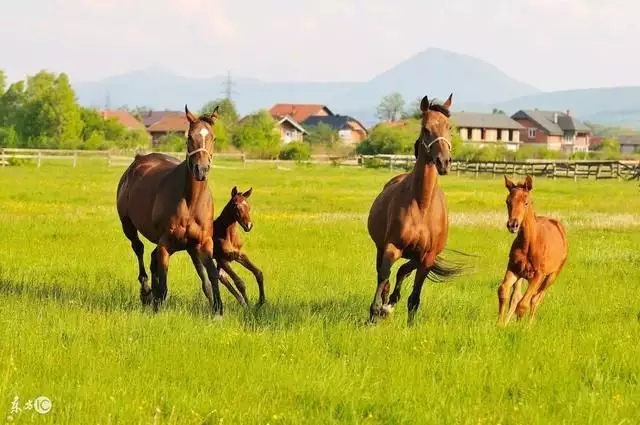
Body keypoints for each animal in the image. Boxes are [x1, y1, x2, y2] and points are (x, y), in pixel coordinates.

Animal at [116, 102, 224, 314]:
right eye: (189, 137)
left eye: (213, 137)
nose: (201, 169)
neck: (190, 202)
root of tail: (138, 160)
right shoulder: (166, 244)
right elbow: (164, 283)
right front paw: (157, 305)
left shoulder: (203, 243)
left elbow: (211, 277)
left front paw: (218, 309)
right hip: (128, 226)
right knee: (139, 249)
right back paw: (146, 292)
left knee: (151, 258)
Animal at [364, 93, 464, 324]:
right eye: (426, 129)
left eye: (449, 127)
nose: (444, 162)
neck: (421, 206)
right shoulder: (391, 247)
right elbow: (384, 278)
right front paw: (375, 313)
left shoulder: (427, 257)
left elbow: (414, 297)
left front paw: (408, 323)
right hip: (381, 248)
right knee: (385, 276)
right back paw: (385, 306)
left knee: (402, 272)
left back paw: (391, 303)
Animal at [498, 174, 568, 326]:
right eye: (508, 201)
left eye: (526, 202)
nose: (513, 224)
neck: (529, 244)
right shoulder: (513, 269)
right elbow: (503, 291)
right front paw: (500, 324)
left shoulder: (538, 275)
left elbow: (523, 304)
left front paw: (520, 328)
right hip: (525, 276)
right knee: (517, 296)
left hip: (551, 276)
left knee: (536, 299)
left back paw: (529, 325)